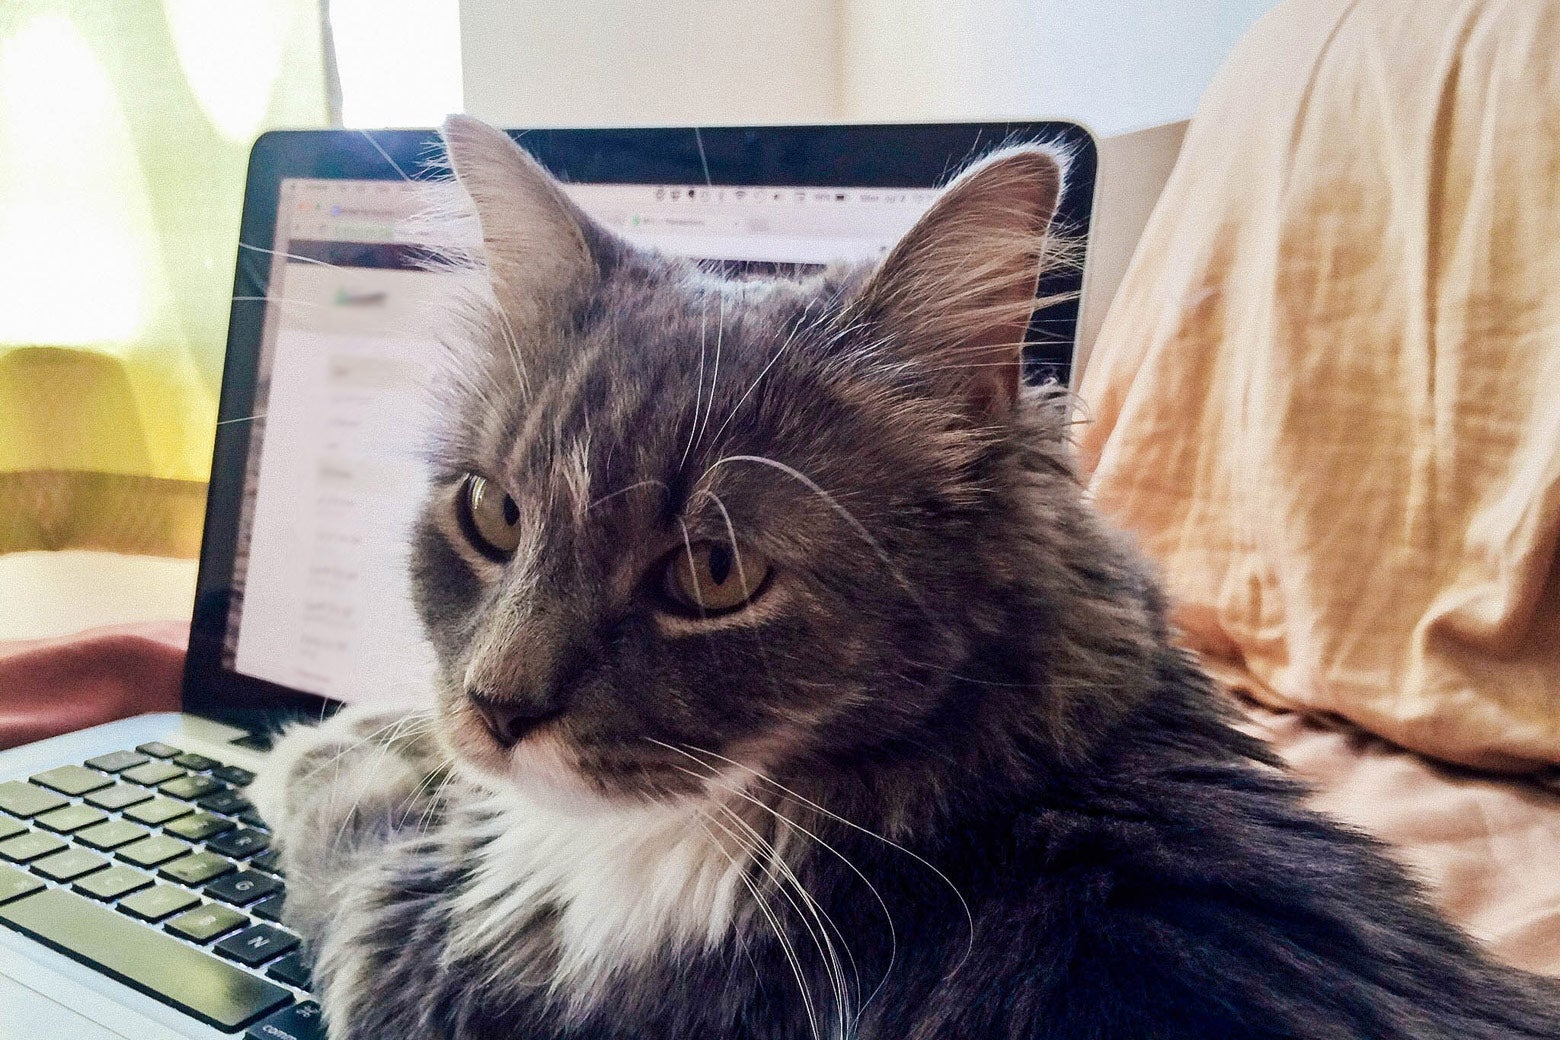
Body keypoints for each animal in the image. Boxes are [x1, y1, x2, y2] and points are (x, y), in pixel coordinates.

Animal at [252, 116, 1560, 1040]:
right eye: (492, 513)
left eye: (714, 570)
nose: (493, 707)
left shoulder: (414, 966)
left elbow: (344, 816)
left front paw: (329, 739)